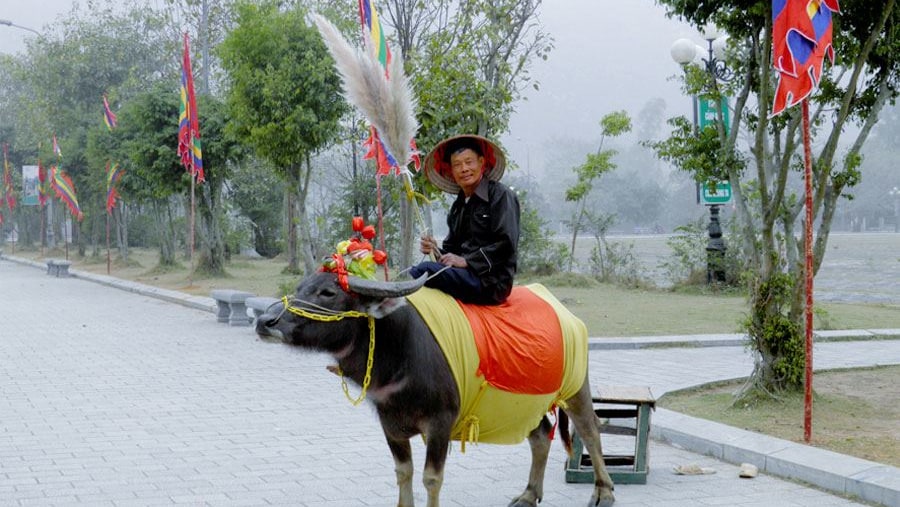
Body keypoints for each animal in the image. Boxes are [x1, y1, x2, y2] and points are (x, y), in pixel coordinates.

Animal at [256, 274, 616, 507]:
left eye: (328, 292)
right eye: (300, 287)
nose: (264, 322)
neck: (400, 352)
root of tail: (568, 315)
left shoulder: (441, 422)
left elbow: (431, 478)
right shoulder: (390, 424)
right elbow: (403, 472)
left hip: (575, 387)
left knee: (589, 428)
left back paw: (603, 492)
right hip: (523, 404)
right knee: (541, 435)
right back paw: (529, 495)